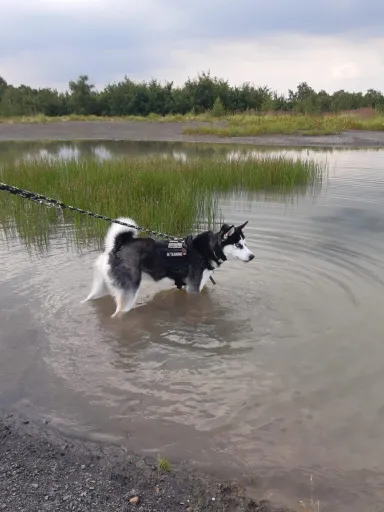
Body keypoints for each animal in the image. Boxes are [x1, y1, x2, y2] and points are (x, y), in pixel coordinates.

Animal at [82, 216, 255, 316]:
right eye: (238, 245)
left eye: (245, 244)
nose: (252, 256)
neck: (206, 250)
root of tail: (117, 247)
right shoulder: (193, 290)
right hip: (129, 293)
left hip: (102, 288)